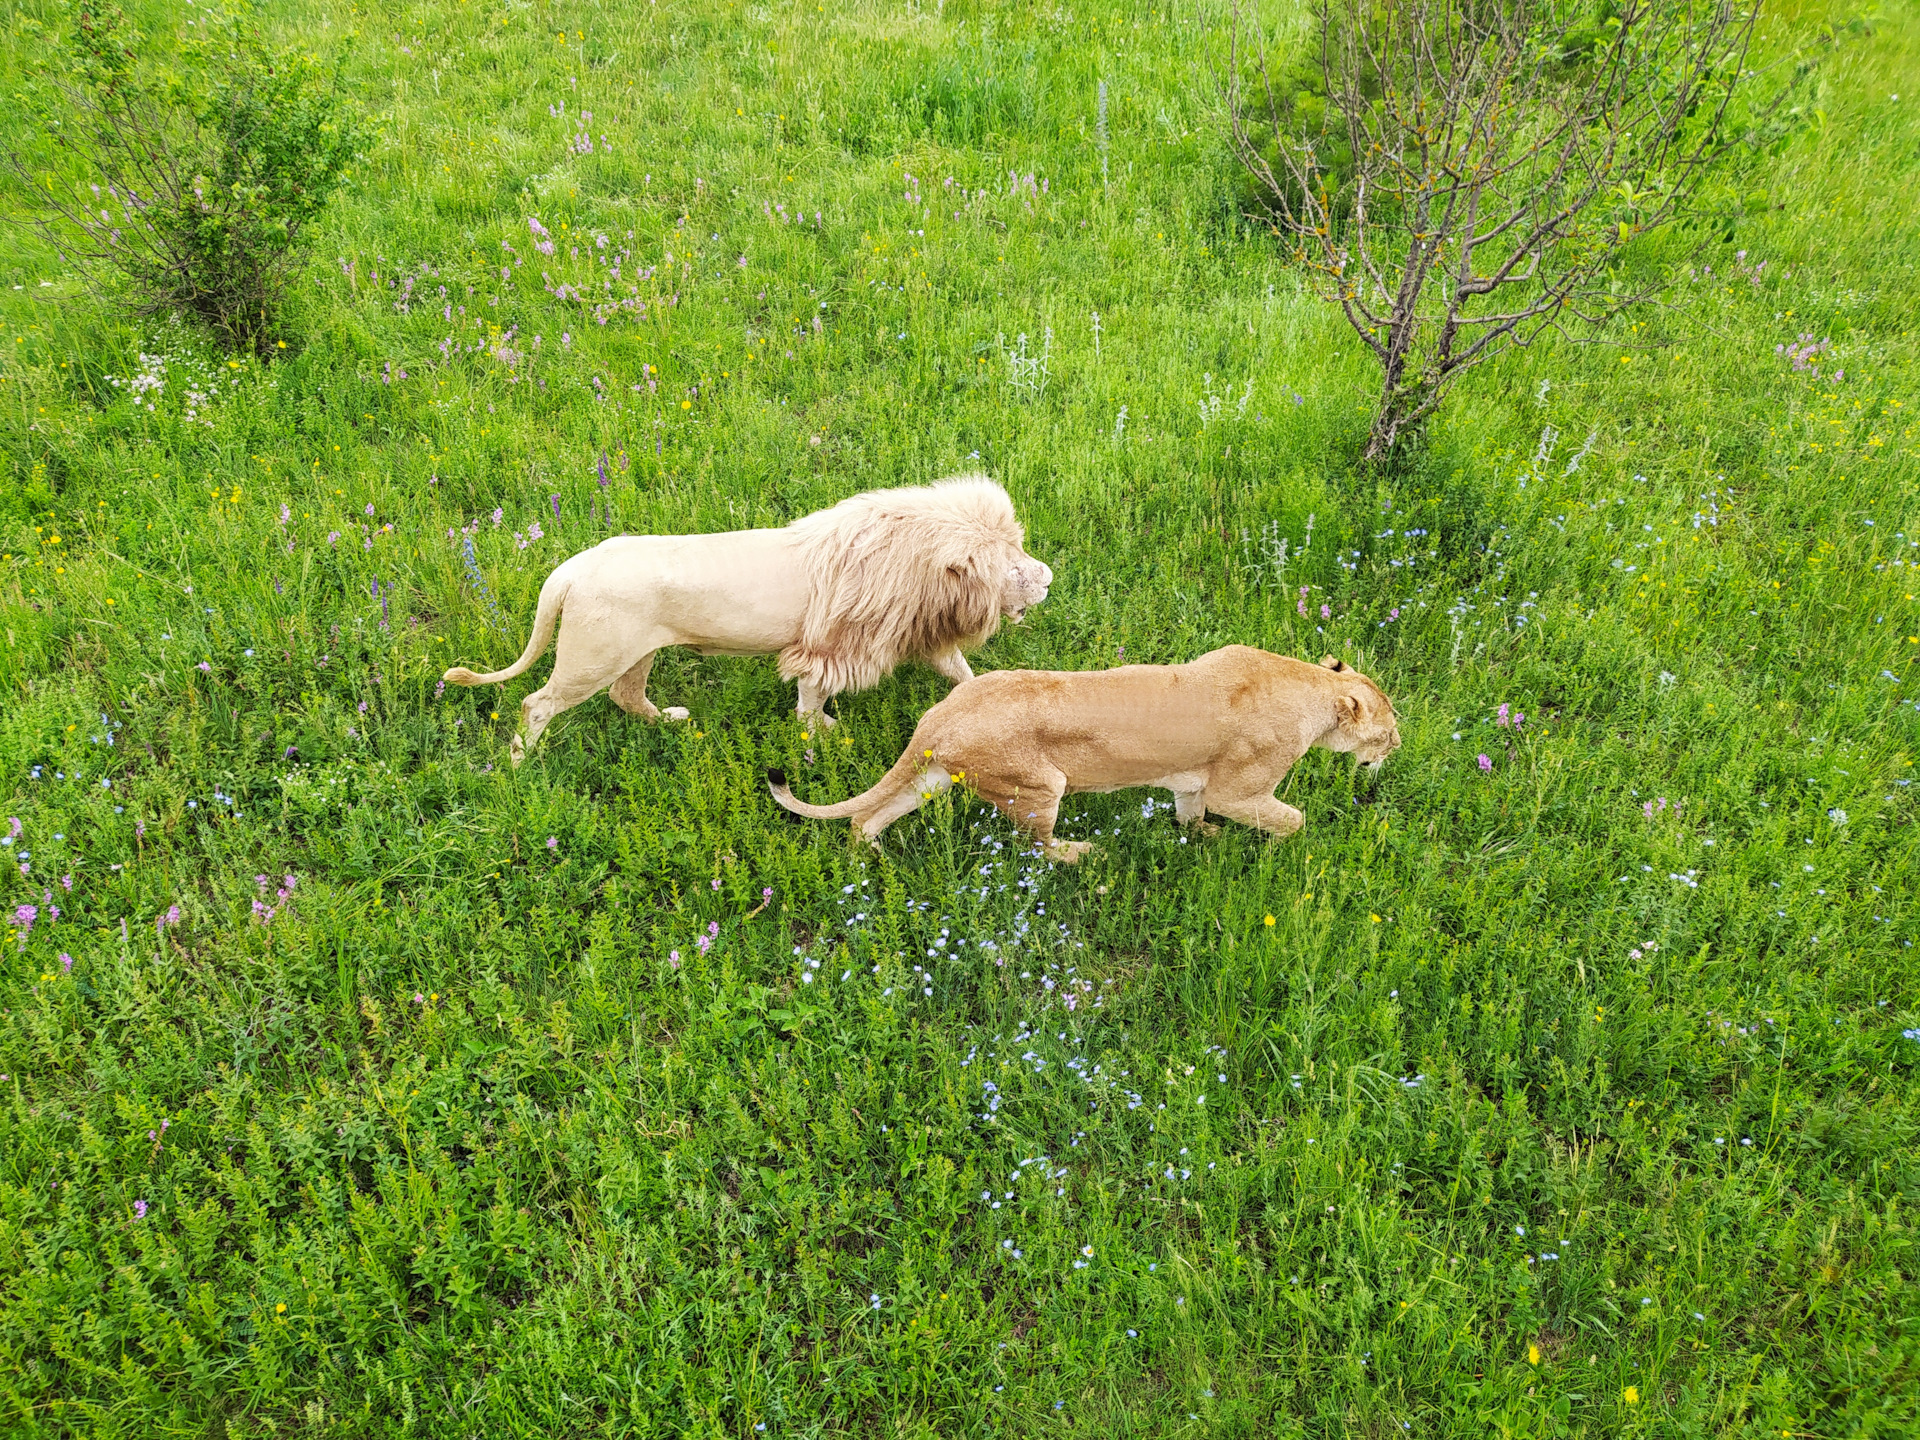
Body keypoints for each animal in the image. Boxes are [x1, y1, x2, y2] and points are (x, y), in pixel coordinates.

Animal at [439, 476, 1052, 768]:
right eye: (1011, 564)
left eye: (1018, 547)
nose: (1047, 577)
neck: (916, 565)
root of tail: (571, 568)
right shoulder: (830, 649)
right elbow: (810, 699)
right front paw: (819, 737)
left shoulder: (916, 635)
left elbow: (964, 674)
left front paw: (992, 704)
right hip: (592, 657)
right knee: (536, 703)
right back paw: (521, 765)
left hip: (636, 653)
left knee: (625, 696)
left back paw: (669, 722)